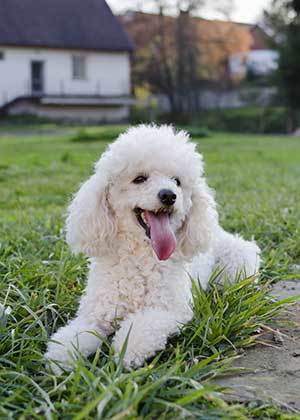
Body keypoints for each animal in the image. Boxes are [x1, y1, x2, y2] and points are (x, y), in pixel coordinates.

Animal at [45, 123, 260, 372]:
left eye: (177, 181)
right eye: (139, 179)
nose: (169, 195)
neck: (141, 255)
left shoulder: (169, 310)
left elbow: (141, 326)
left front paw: (127, 351)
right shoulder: (95, 313)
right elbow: (74, 334)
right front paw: (60, 357)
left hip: (237, 264)